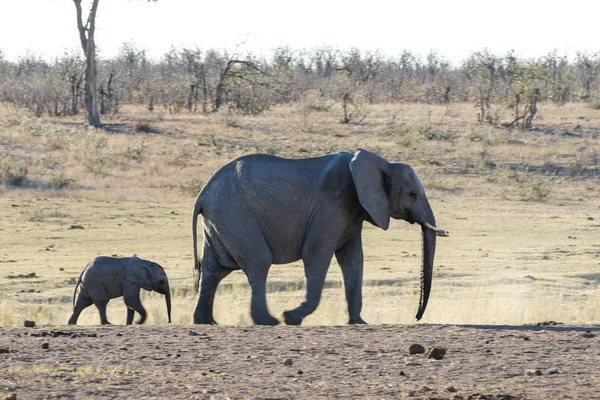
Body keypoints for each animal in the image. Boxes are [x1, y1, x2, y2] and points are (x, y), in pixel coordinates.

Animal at [190, 148, 448, 326]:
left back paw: (206, 322)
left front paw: (358, 322)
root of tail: (201, 196)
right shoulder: (332, 207)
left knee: (214, 269)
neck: (379, 162)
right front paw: (291, 318)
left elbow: (353, 259)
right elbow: (316, 255)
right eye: (412, 194)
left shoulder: (352, 213)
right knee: (259, 262)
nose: (416, 317)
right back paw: (269, 321)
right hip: (237, 217)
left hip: (222, 220)